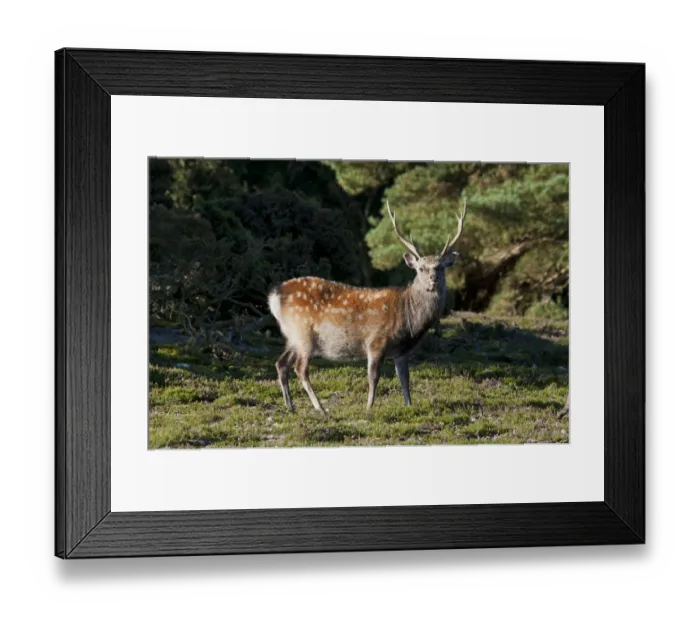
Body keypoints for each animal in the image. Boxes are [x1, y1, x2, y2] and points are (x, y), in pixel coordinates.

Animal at [268, 200, 466, 414]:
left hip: (293, 336)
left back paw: (290, 406)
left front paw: (409, 406)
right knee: (300, 369)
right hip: (303, 332)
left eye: (441, 267)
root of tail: (274, 295)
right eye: (421, 268)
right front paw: (369, 407)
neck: (409, 319)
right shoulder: (376, 341)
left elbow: (405, 379)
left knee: (281, 363)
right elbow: (373, 377)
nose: (433, 279)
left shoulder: (402, 350)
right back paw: (320, 408)